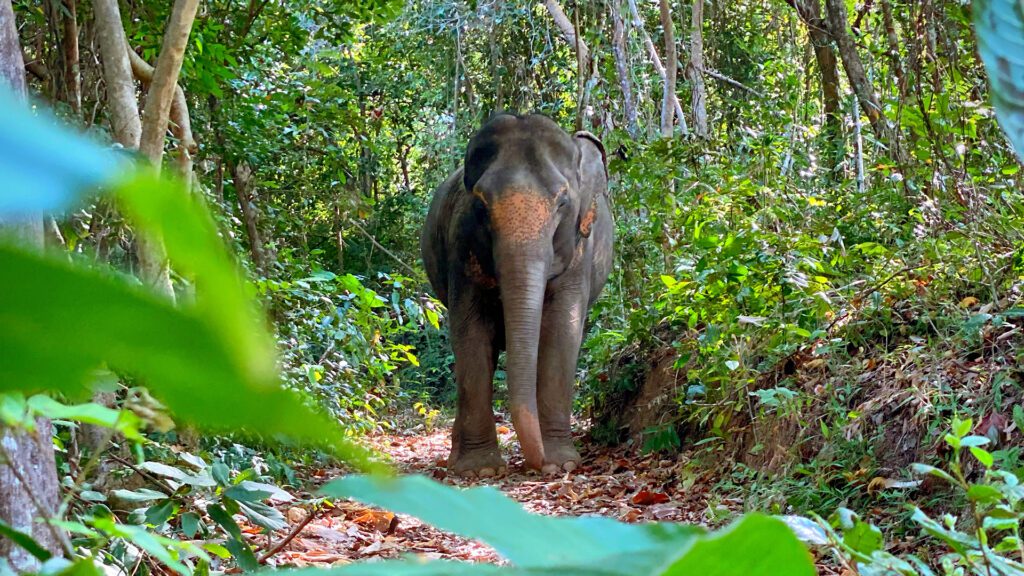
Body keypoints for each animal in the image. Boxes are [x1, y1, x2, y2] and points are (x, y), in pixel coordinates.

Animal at [419, 113, 610, 475]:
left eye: (562, 202)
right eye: (480, 205)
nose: (538, 464)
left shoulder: (581, 252)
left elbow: (562, 330)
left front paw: (561, 464)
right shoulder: (461, 244)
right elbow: (470, 332)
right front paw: (479, 470)